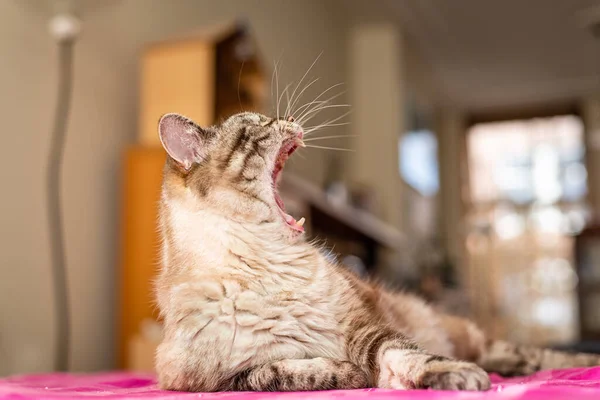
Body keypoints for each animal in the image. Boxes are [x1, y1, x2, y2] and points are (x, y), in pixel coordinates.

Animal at [156, 111, 600, 392]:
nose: (288, 119)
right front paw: (347, 375)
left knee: (532, 356)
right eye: (260, 123)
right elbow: (282, 373)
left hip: (476, 340)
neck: (264, 266)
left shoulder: (363, 329)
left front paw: (449, 376)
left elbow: (410, 356)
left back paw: (570, 364)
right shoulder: (213, 379)